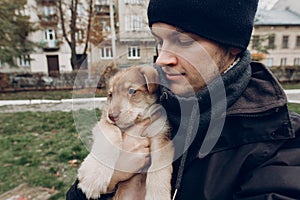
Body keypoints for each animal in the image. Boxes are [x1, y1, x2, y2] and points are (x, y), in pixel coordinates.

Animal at [78, 66, 173, 200]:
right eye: (110, 95)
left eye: (132, 91)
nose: (111, 116)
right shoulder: (103, 123)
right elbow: (111, 135)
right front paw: (93, 176)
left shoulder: (161, 135)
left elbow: (159, 167)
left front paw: (157, 196)